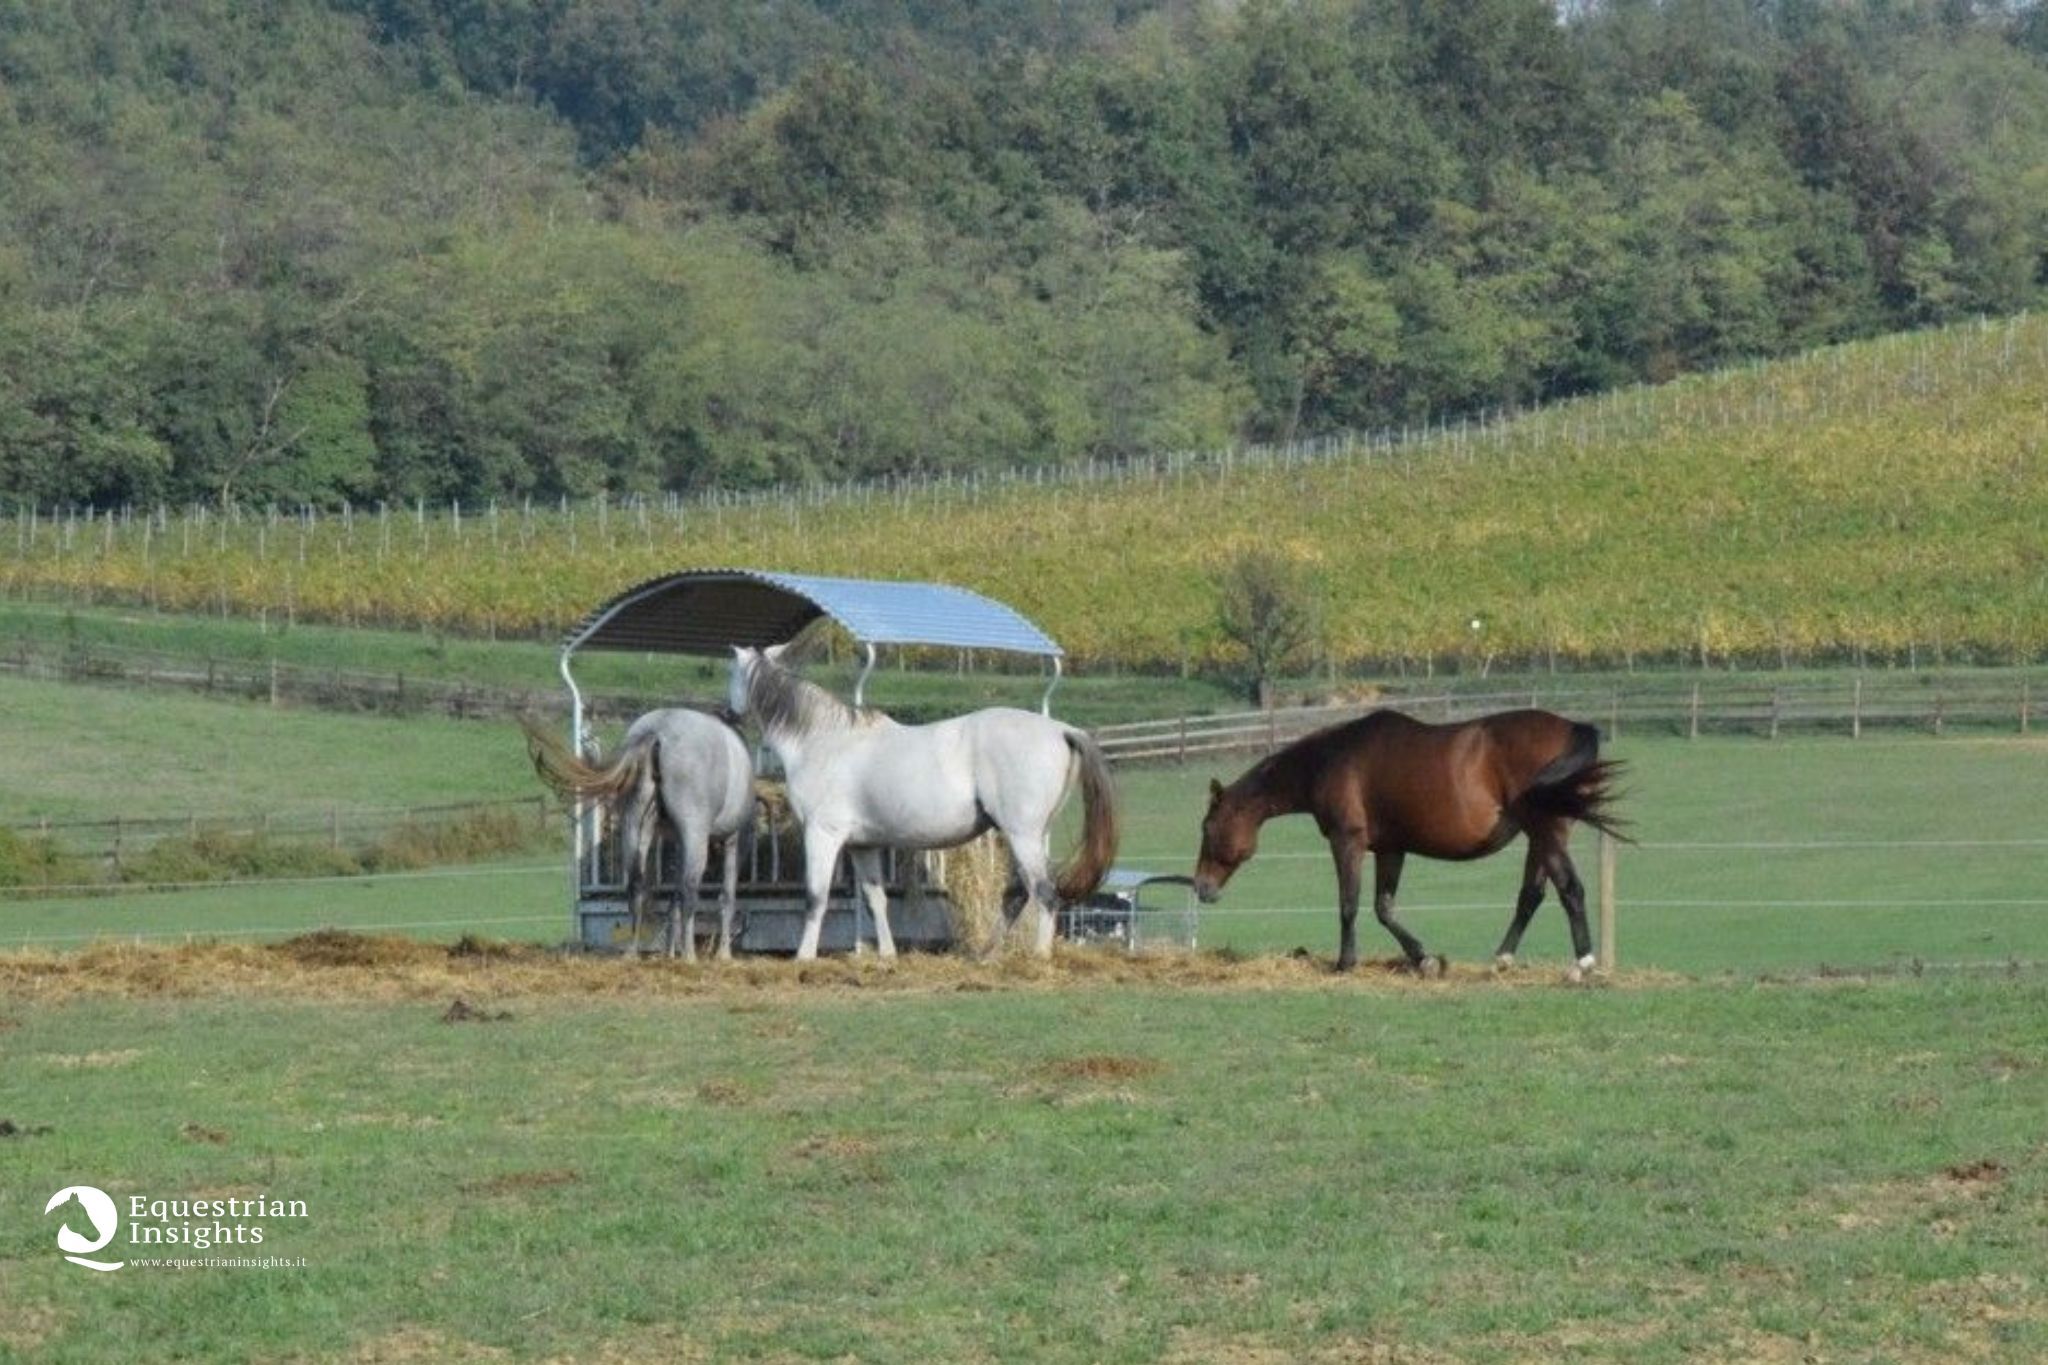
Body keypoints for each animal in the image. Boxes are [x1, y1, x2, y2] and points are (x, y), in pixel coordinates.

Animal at [524, 712, 757, 957]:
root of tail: (656, 731)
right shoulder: (733, 840)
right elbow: (726, 897)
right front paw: (723, 954)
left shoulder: (679, 844)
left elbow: (674, 899)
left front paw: (670, 952)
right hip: (693, 833)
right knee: (689, 890)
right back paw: (689, 956)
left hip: (636, 824)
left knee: (637, 885)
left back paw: (633, 953)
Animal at [729, 650, 1122, 961]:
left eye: (731, 671)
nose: (728, 712)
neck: (822, 741)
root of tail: (1061, 730)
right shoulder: (862, 845)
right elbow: (875, 899)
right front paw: (887, 955)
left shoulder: (822, 835)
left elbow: (815, 898)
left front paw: (804, 956)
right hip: (1023, 837)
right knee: (1018, 893)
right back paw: (986, 954)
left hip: (1022, 835)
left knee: (1044, 893)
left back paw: (1038, 956)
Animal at [1196, 716, 1622, 970]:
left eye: (1207, 827)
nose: (1202, 887)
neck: (1331, 759)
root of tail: (1572, 727)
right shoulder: (1390, 849)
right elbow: (1384, 908)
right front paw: (1423, 958)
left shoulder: (1347, 841)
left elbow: (1349, 904)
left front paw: (1345, 962)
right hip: (1541, 836)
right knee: (1532, 895)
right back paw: (1502, 959)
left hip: (1546, 831)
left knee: (1569, 888)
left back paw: (1583, 964)